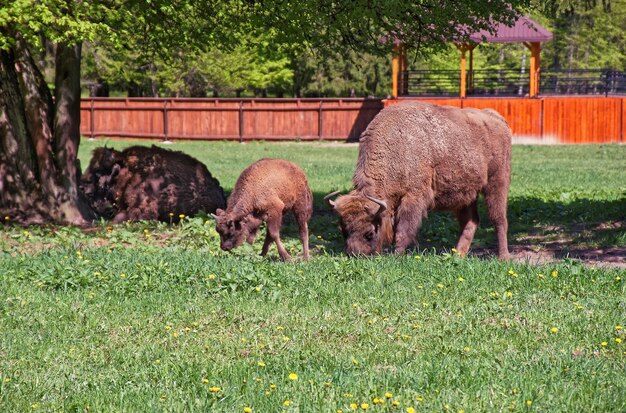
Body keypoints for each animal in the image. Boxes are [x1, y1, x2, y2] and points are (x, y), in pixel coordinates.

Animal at [324, 100, 510, 260]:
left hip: (497, 182)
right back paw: (457, 255)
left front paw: (397, 254)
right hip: (466, 195)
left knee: (499, 219)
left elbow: (403, 229)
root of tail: (497, 119)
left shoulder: (413, 197)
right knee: (470, 222)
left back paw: (503, 257)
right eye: (343, 230)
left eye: (369, 233)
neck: (397, 145)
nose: (355, 255)